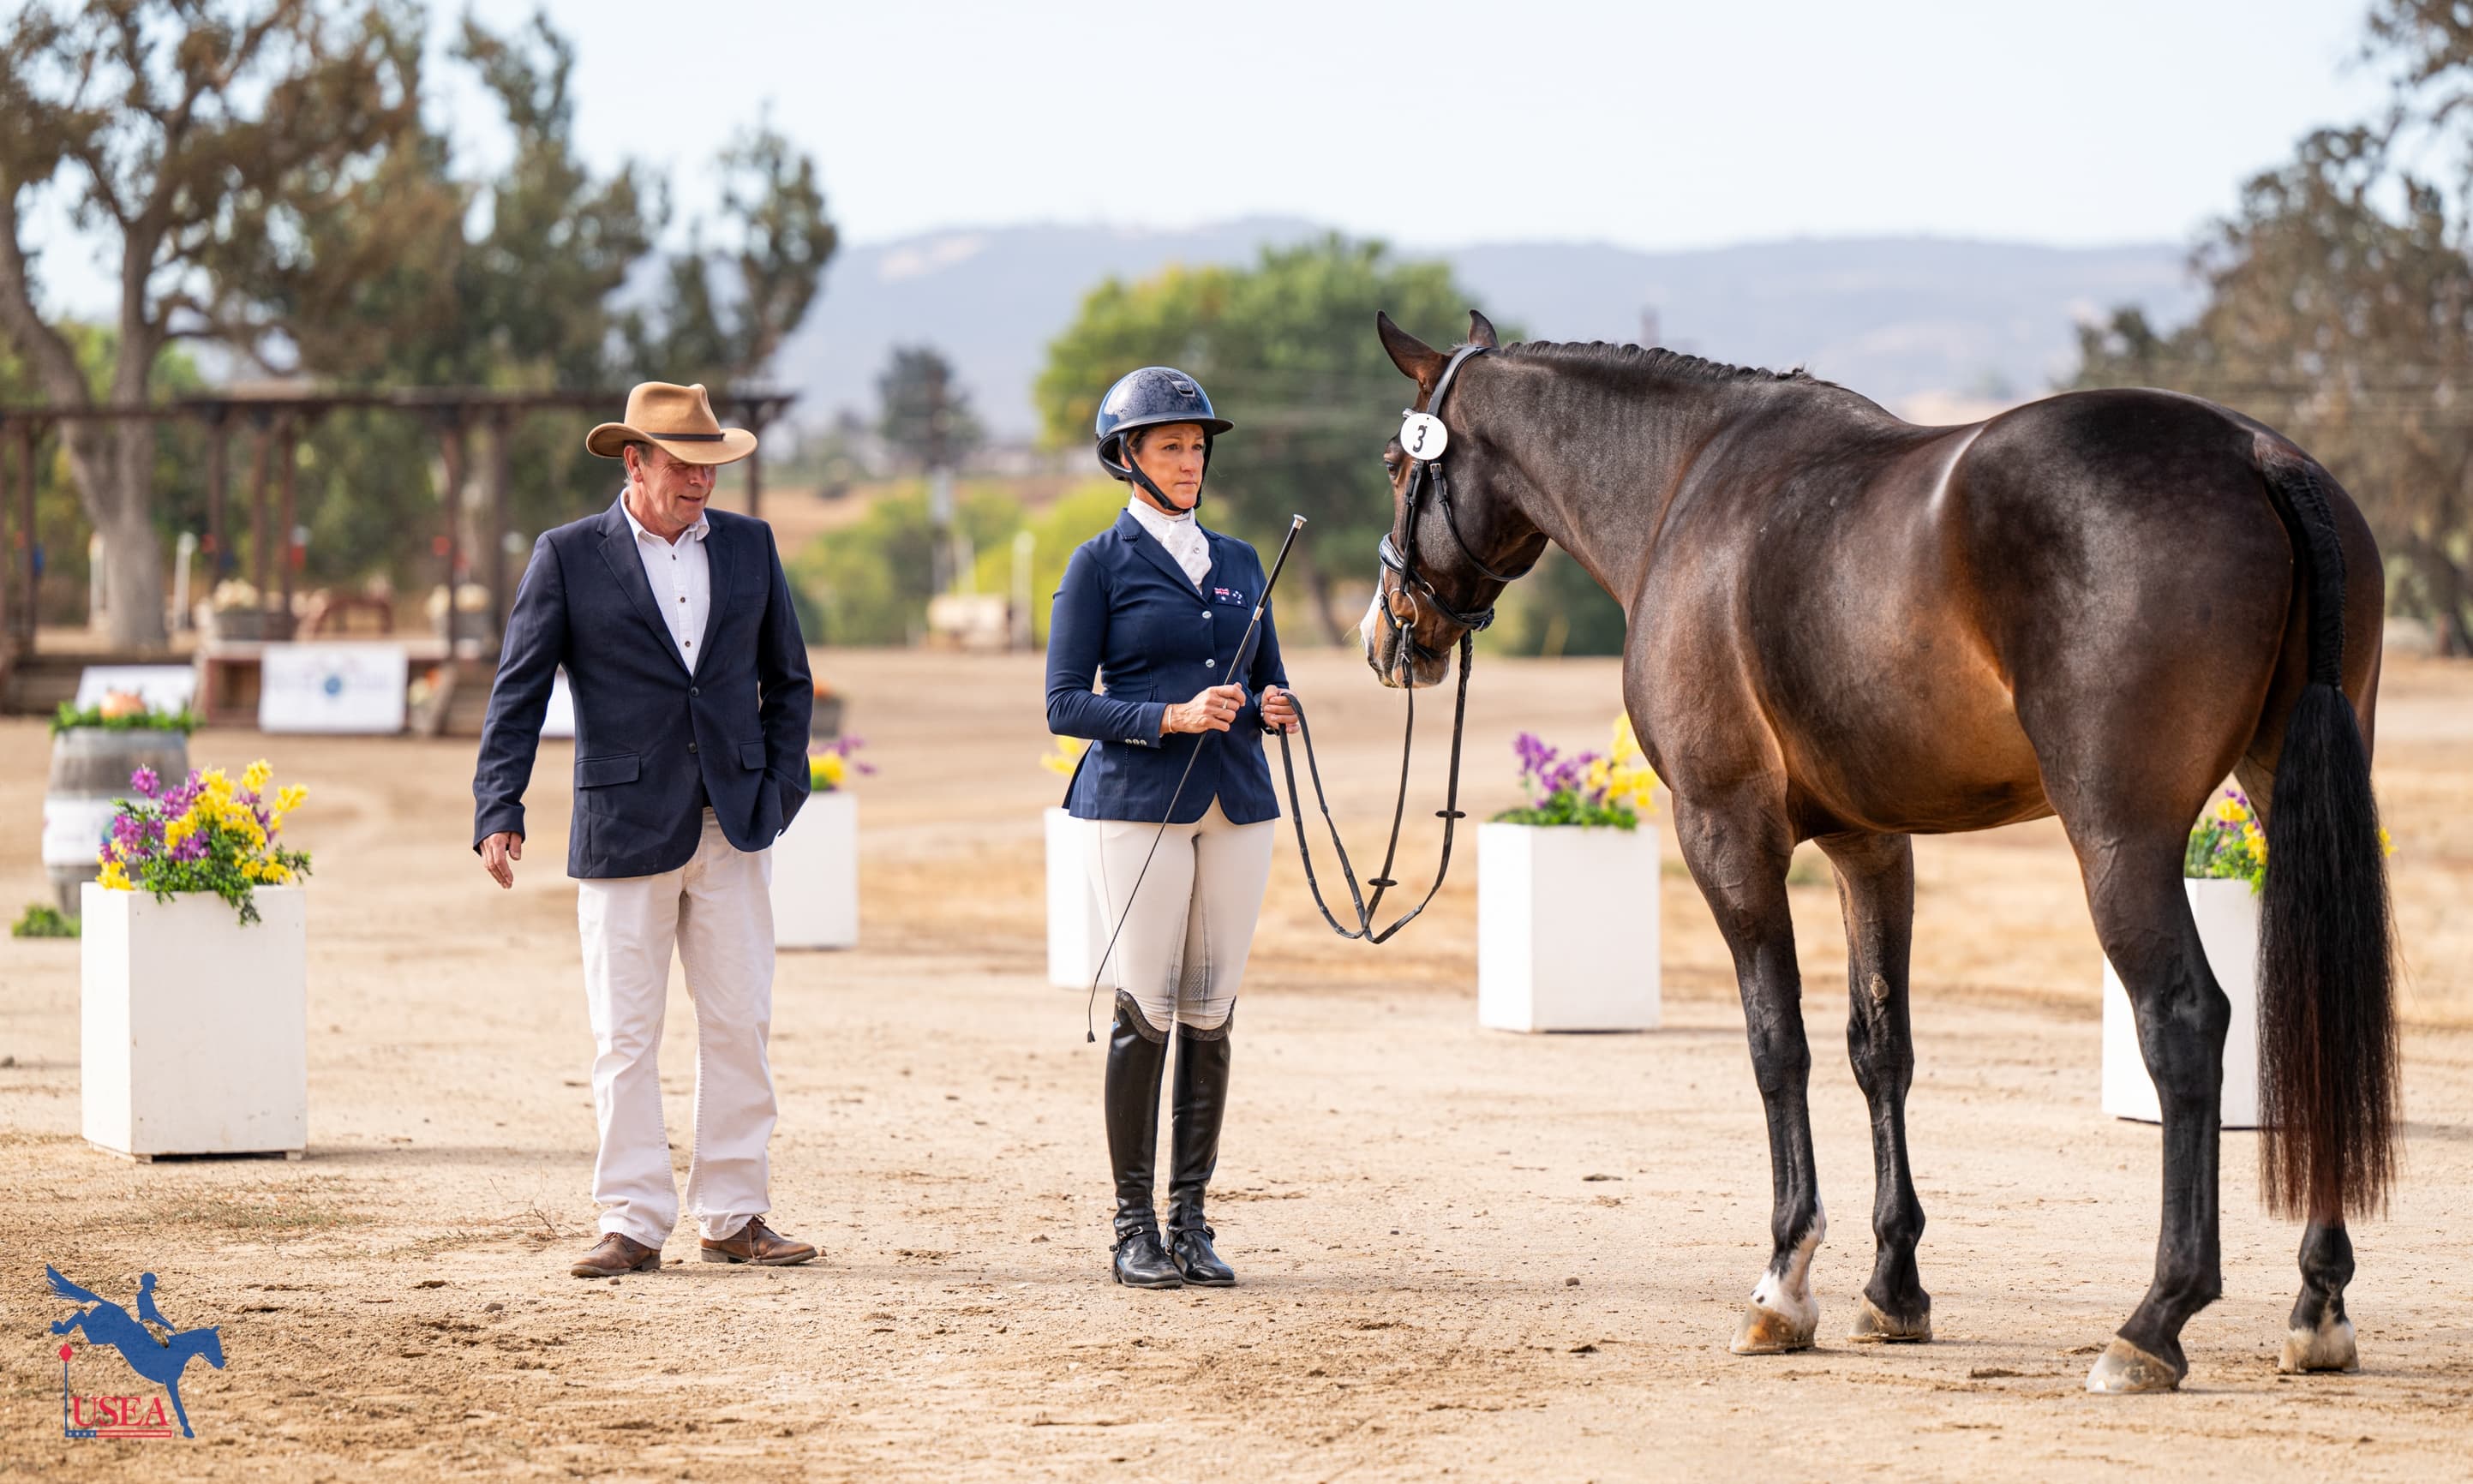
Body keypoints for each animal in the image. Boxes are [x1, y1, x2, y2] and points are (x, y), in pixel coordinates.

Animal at [48, 1267, 226, 1438]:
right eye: (213, 1344)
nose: (221, 1363)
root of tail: (105, 1303)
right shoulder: (170, 1380)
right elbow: (178, 1405)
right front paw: (187, 1430)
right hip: (97, 1336)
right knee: (80, 1314)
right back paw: (60, 1328)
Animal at [1362, 310, 2397, 1394]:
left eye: (1397, 461)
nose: (1389, 636)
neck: (1685, 484)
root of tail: (2256, 453)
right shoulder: (1870, 844)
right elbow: (1879, 1047)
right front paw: (1894, 1288)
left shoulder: (1727, 832)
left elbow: (1777, 1043)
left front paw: (1784, 1282)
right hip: (2282, 791)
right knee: (2316, 1007)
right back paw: (2317, 1303)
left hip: (2121, 837)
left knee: (2186, 1021)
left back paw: (2154, 1322)